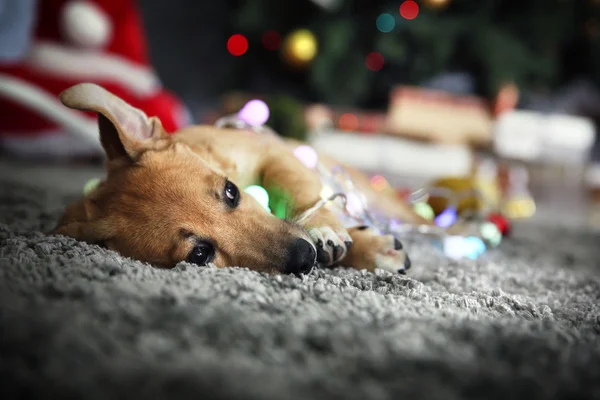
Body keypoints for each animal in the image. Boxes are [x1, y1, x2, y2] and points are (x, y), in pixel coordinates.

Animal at [51, 83, 426, 276]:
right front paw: (366, 248)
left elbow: (296, 187)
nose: (304, 258)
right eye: (200, 254)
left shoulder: (271, 153)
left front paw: (327, 230)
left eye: (231, 191)